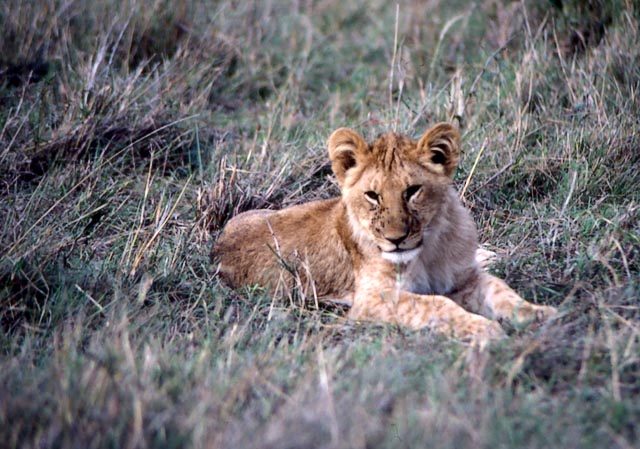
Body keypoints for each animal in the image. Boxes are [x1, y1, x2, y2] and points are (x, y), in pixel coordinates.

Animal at [212, 123, 557, 340]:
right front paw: (485, 330)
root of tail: (219, 243)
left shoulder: (463, 278)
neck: (428, 250)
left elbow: (501, 290)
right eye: (372, 196)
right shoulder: (372, 300)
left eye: (413, 191)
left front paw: (540, 314)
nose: (396, 239)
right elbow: (437, 304)